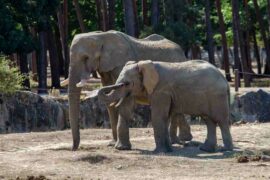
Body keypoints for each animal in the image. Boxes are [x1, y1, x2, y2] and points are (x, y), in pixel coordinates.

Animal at [61, 30, 192, 150]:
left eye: (86, 58)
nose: (74, 148)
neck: (100, 36)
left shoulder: (122, 63)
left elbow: (126, 98)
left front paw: (119, 146)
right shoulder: (106, 69)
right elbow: (110, 101)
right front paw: (112, 144)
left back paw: (179, 141)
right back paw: (182, 139)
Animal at [98, 59, 233, 153]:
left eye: (126, 83)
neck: (143, 64)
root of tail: (224, 79)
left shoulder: (161, 91)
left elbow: (158, 117)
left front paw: (160, 152)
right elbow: (162, 117)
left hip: (217, 97)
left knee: (221, 120)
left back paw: (225, 149)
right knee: (209, 120)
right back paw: (206, 149)